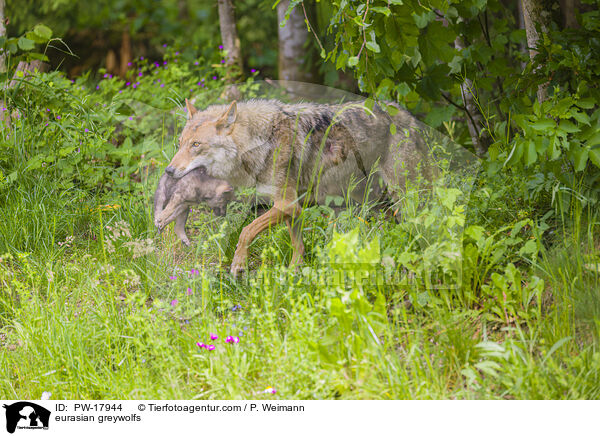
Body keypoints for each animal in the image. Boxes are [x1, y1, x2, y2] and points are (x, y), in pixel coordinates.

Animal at [166, 99, 428, 276]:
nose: (168, 170)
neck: (257, 143)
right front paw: (293, 273)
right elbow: (298, 246)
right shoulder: (294, 209)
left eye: (196, 145)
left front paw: (238, 264)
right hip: (377, 202)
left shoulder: (286, 204)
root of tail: (407, 115)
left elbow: (246, 231)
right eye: (179, 144)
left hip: (403, 196)